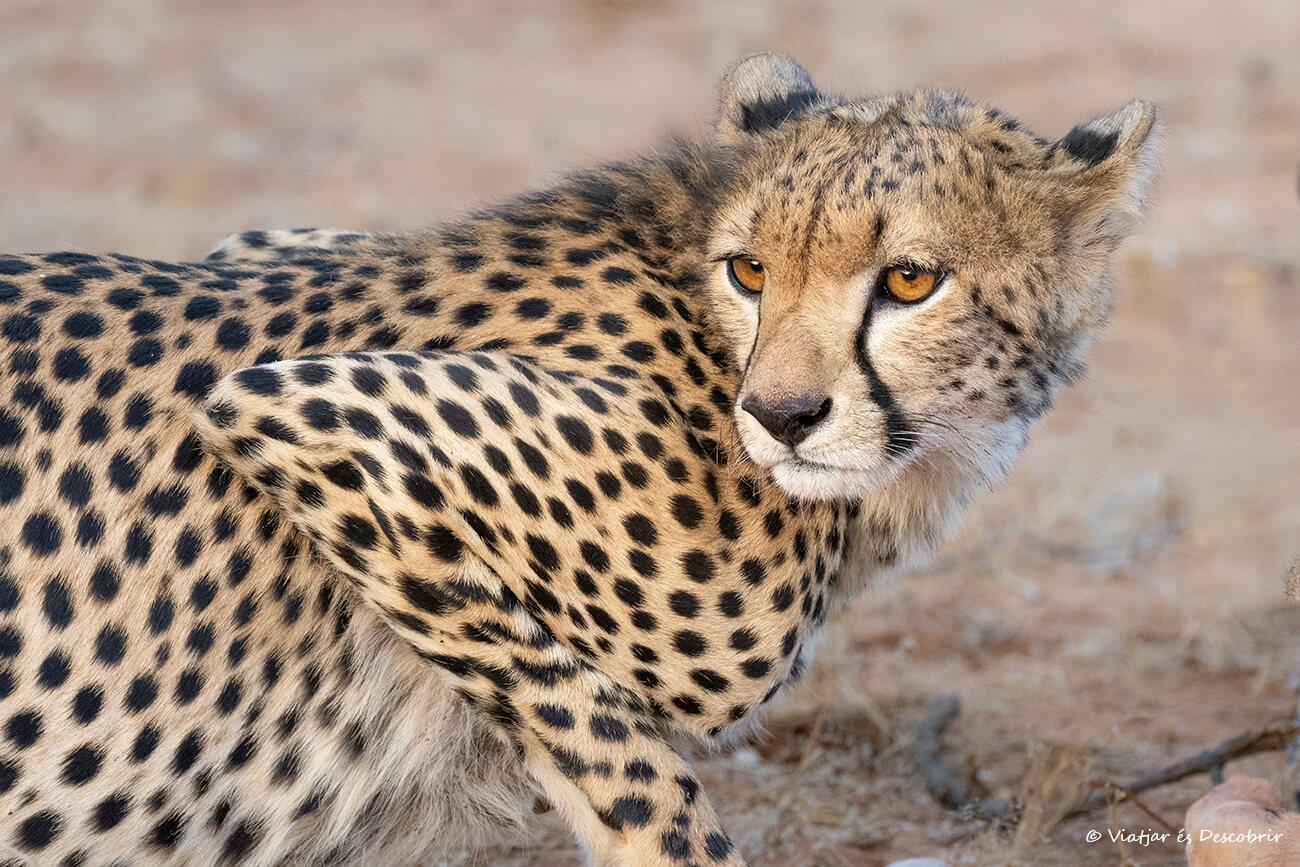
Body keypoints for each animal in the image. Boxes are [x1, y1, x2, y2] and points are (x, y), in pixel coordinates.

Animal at [0, 52, 1158, 866]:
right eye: (749, 270)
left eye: (911, 280)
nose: (780, 416)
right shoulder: (299, 409)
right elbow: (616, 746)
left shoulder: (268, 269)